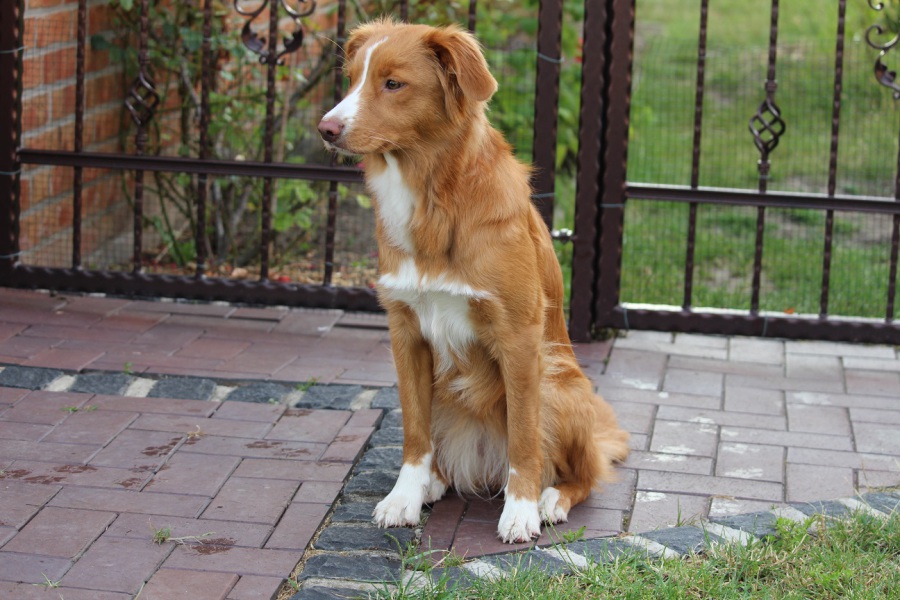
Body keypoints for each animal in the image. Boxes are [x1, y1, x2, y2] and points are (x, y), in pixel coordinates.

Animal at [317, 18, 630, 543]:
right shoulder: (405, 332)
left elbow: (524, 437)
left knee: (582, 474)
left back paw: (550, 498)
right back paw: (434, 483)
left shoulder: (519, 337)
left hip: (558, 383)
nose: (326, 129)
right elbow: (414, 433)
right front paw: (404, 497)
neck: (432, 199)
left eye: (393, 83)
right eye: (352, 79)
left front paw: (520, 510)